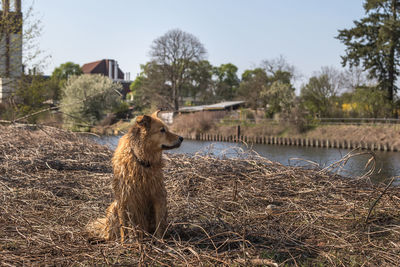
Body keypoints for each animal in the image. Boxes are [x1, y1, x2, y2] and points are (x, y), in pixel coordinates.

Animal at [88, 112, 184, 242]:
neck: (142, 160)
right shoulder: (124, 198)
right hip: (114, 207)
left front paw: (160, 241)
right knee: (110, 234)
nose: (181, 138)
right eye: (162, 130)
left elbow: (159, 224)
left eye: (166, 129)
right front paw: (124, 243)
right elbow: (123, 228)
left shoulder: (158, 196)